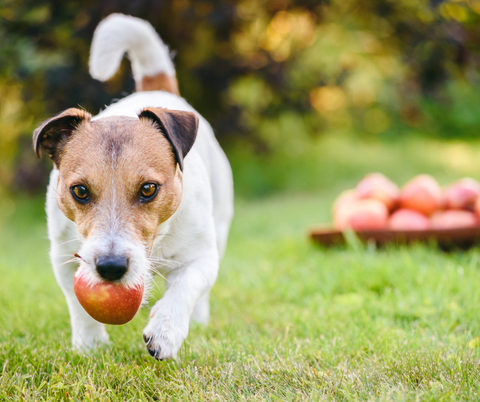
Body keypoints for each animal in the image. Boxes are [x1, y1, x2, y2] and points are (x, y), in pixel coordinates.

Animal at [32, 13, 233, 362]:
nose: (111, 267)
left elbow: (187, 286)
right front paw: (89, 347)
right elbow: (79, 308)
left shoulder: (202, 256)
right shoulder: (63, 257)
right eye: (80, 191)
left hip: (220, 224)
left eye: (149, 189)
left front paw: (166, 331)